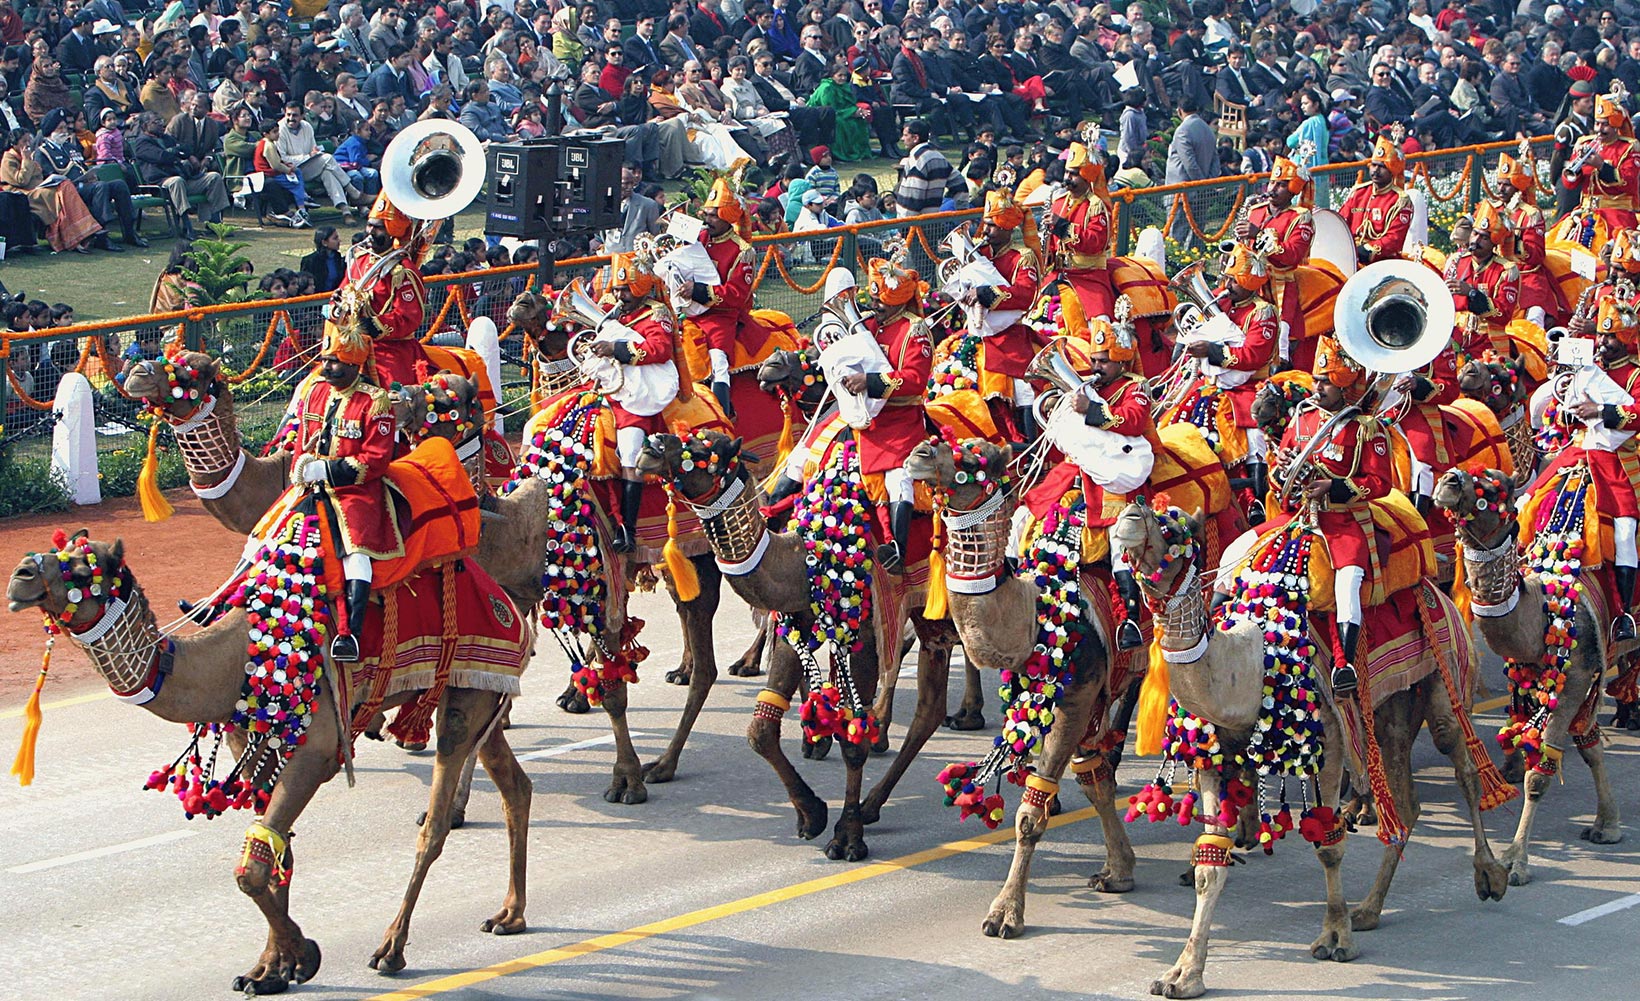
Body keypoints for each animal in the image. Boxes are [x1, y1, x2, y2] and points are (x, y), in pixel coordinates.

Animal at [7, 534, 531, 984]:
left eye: (82, 568)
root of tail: (510, 609)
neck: (234, 659)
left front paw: (303, 956)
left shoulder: (317, 751)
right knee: (514, 786)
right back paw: (510, 915)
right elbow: (275, 847)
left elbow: (251, 869)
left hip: (467, 691)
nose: (20, 573)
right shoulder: (252, 741)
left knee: (435, 823)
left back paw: (391, 949)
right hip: (481, 693)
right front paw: (270, 969)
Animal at [629, 429, 957, 859]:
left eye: (706, 449)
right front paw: (811, 813)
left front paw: (847, 837)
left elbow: (853, 739)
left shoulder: (865, 633)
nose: (651, 445)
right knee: (930, 708)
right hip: (932, 614)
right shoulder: (793, 624)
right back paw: (873, 804)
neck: (806, 558)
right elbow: (760, 730)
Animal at [898, 436, 1141, 932]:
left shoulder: (1075, 699)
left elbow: (1031, 812)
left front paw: (1005, 912)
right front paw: (1118, 872)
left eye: (979, 456)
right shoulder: (1080, 695)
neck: (1035, 614)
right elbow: (1095, 783)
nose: (922, 452)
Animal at [1108, 498, 1502, 997]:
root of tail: (1439, 591)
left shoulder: (1329, 747)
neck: (1253, 663)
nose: (1132, 511)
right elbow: (1208, 864)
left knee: (1464, 766)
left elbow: (1328, 847)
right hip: (1388, 713)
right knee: (1407, 803)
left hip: (1441, 673)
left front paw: (1335, 938)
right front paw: (1183, 973)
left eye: (1174, 529)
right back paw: (1369, 909)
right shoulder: (1212, 757)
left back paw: (1490, 876)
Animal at [1430, 462, 1620, 879]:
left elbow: (1539, 775)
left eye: (1493, 488)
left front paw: (1516, 860)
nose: (1448, 481)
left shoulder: (1574, 679)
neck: (1544, 610)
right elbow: (1590, 747)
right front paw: (1606, 825)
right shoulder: (1538, 674)